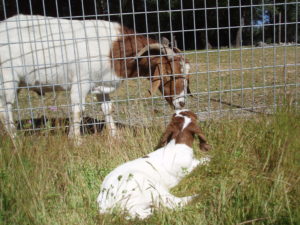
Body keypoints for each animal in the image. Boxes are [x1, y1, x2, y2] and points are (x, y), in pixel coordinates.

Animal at [0, 14, 191, 140]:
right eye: (171, 73)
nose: (182, 103)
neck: (114, 49)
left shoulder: (102, 84)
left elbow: (108, 108)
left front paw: (114, 135)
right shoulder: (81, 82)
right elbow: (78, 110)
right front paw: (76, 140)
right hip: (7, 79)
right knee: (5, 109)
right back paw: (15, 140)